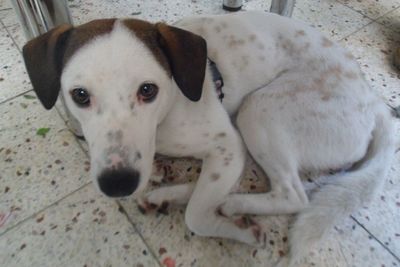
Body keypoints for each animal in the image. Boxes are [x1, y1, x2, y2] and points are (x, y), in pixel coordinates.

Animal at [21, 11, 394, 267]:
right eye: (80, 95)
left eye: (148, 90)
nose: (118, 184)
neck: (166, 113)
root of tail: (376, 103)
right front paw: (159, 175)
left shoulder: (228, 147)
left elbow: (197, 217)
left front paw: (240, 231)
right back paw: (170, 195)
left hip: (258, 110)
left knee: (293, 195)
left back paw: (233, 204)